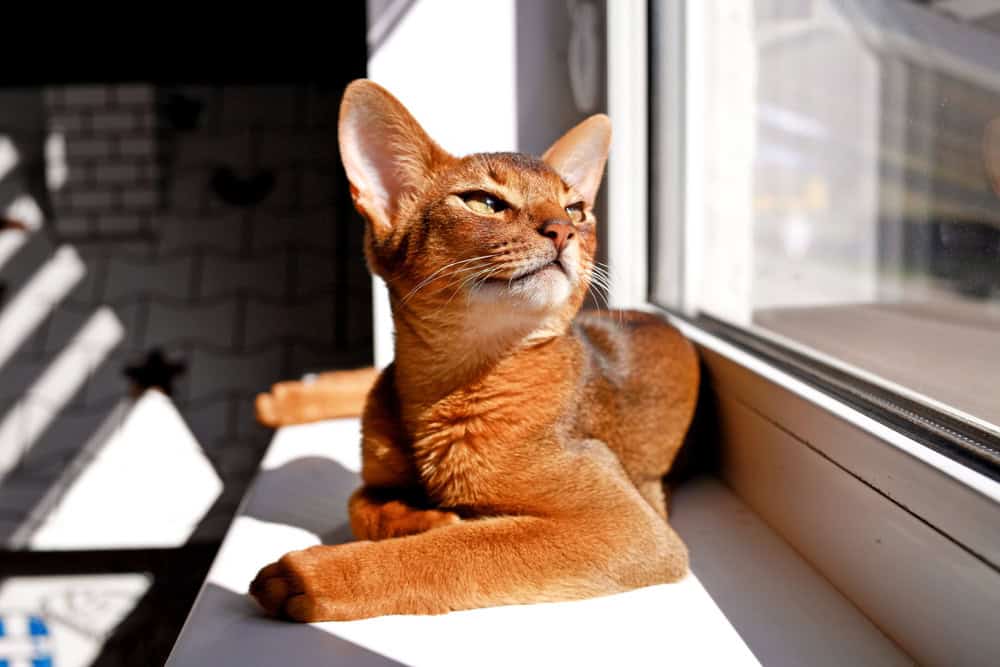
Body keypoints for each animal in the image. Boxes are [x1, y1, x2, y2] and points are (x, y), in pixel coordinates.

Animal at [247, 81, 700, 624]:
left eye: (575, 209)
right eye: (484, 202)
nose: (563, 231)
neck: (446, 387)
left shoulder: (629, 524)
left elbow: (458, 549)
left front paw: (309, 577)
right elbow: (359, 501)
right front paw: (422, 516)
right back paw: (281, 400)